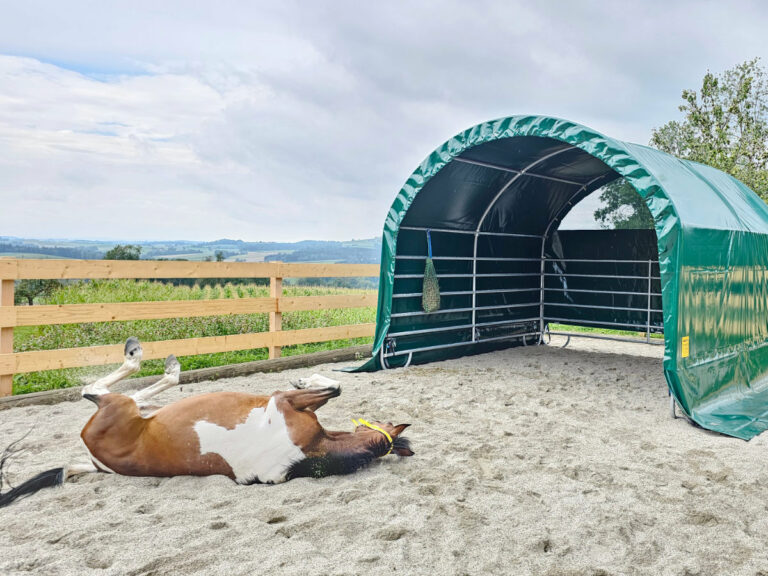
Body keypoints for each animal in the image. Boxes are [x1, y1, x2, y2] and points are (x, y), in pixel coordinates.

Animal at [0, 336, 414, 506]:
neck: (308, 453)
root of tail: (97, 462)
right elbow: (335, 386)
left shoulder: (284, 402)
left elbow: (335, 386)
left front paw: (304, 379)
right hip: (129, 411)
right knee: (134, 393)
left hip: (117, 407)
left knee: (100, 388)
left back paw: (146, 356)